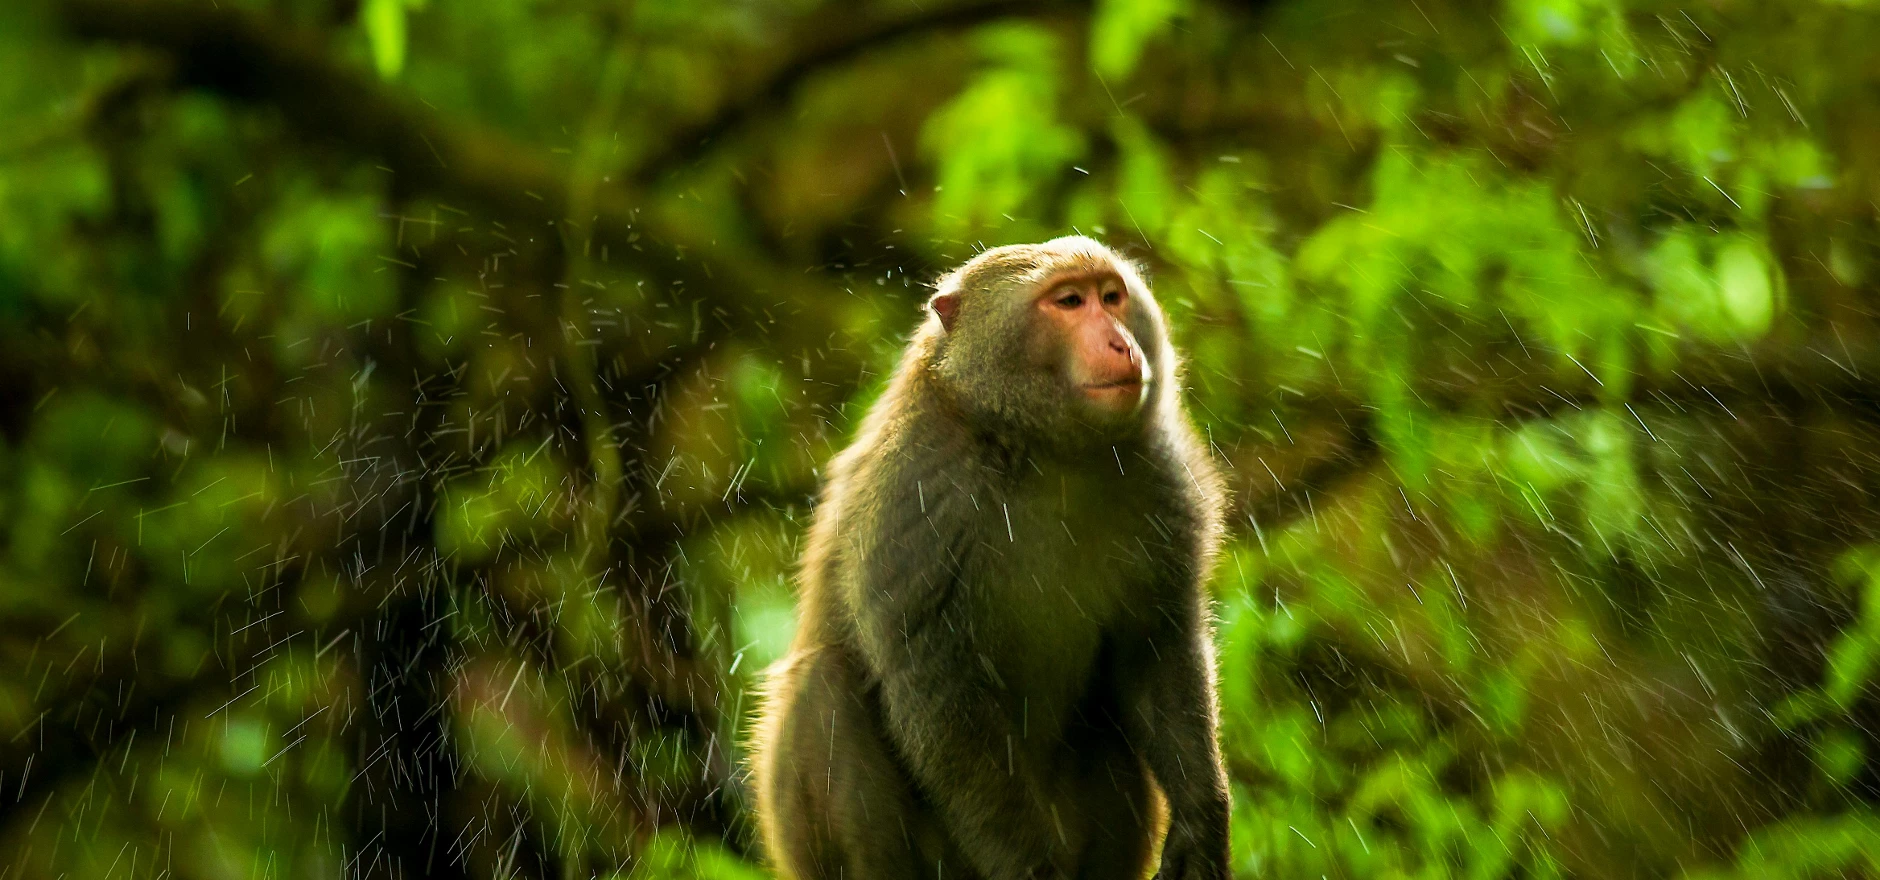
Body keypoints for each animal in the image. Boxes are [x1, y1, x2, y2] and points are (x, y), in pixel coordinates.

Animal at [748, 235, 1233, 880]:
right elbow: (938, 695)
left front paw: (1203, 822)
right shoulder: (919, 494)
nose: (1120, 343)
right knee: (823, 688)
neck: (1041, 450)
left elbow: (1155, 643)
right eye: (1069, 302)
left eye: (1111, 297)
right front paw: (1034, 872)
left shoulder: (1162, 473)